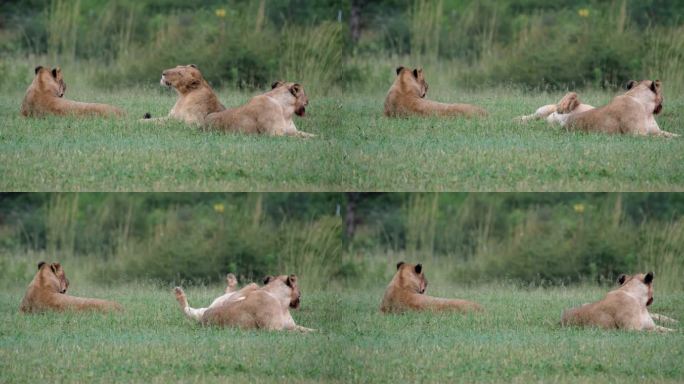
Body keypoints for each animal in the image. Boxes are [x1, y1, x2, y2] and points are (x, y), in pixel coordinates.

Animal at [172, 272, 314, 332]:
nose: (300, 295)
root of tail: (203, 318)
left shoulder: (292, 326)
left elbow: (309, 330)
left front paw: (317, 332)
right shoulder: (272, 330)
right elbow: (296, 333)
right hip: (252, 285)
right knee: (188, 311)